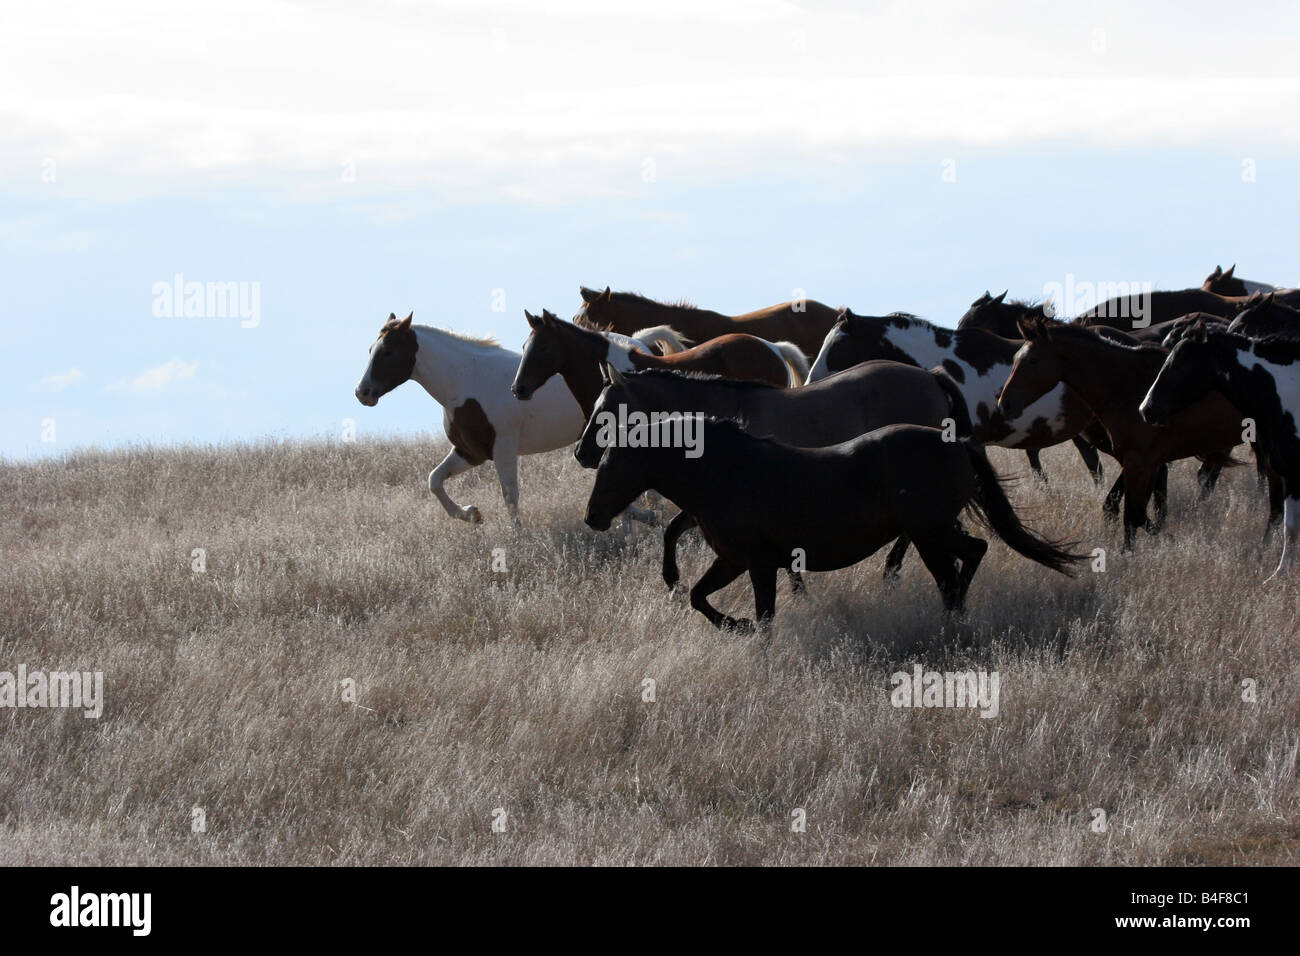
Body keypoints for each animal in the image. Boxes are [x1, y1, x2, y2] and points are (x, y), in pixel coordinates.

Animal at [356, 312, 670, 522]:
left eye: (388, 351)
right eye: (370, 350)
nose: (363, 392)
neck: (466, 381)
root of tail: (638, 346)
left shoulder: (503, 448)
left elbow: (510, 495)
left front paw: (517, 539)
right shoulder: (471, 452)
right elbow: (435, 480)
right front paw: (470, 514)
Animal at [574, 361, 972, 590]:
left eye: (607, 411)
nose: (582, 453)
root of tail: (931, 376)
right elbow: (672, 528)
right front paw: (673, 582)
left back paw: (894, 571)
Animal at [585, 416, 1081, 632]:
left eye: (613, 462)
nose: (592, 517)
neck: (724, 473)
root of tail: (956, 442)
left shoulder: (757, 563)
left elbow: (765, 615)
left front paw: (752, 637)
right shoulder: (732, 559)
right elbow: (697, 597)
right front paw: (735, 624)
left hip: (930, 533)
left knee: (960, 566)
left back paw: (953, 618)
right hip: (934, 532)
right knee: (970, 556)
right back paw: (956, 615)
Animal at [993, 317, 1258, 548]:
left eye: (1033, 360)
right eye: (1016, 358)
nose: (1005, 403)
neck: (1126, 385)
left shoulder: (1140, 462)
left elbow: (1132, 515)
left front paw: (1137, 553)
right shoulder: (1146, 462)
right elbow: (1130, 510)